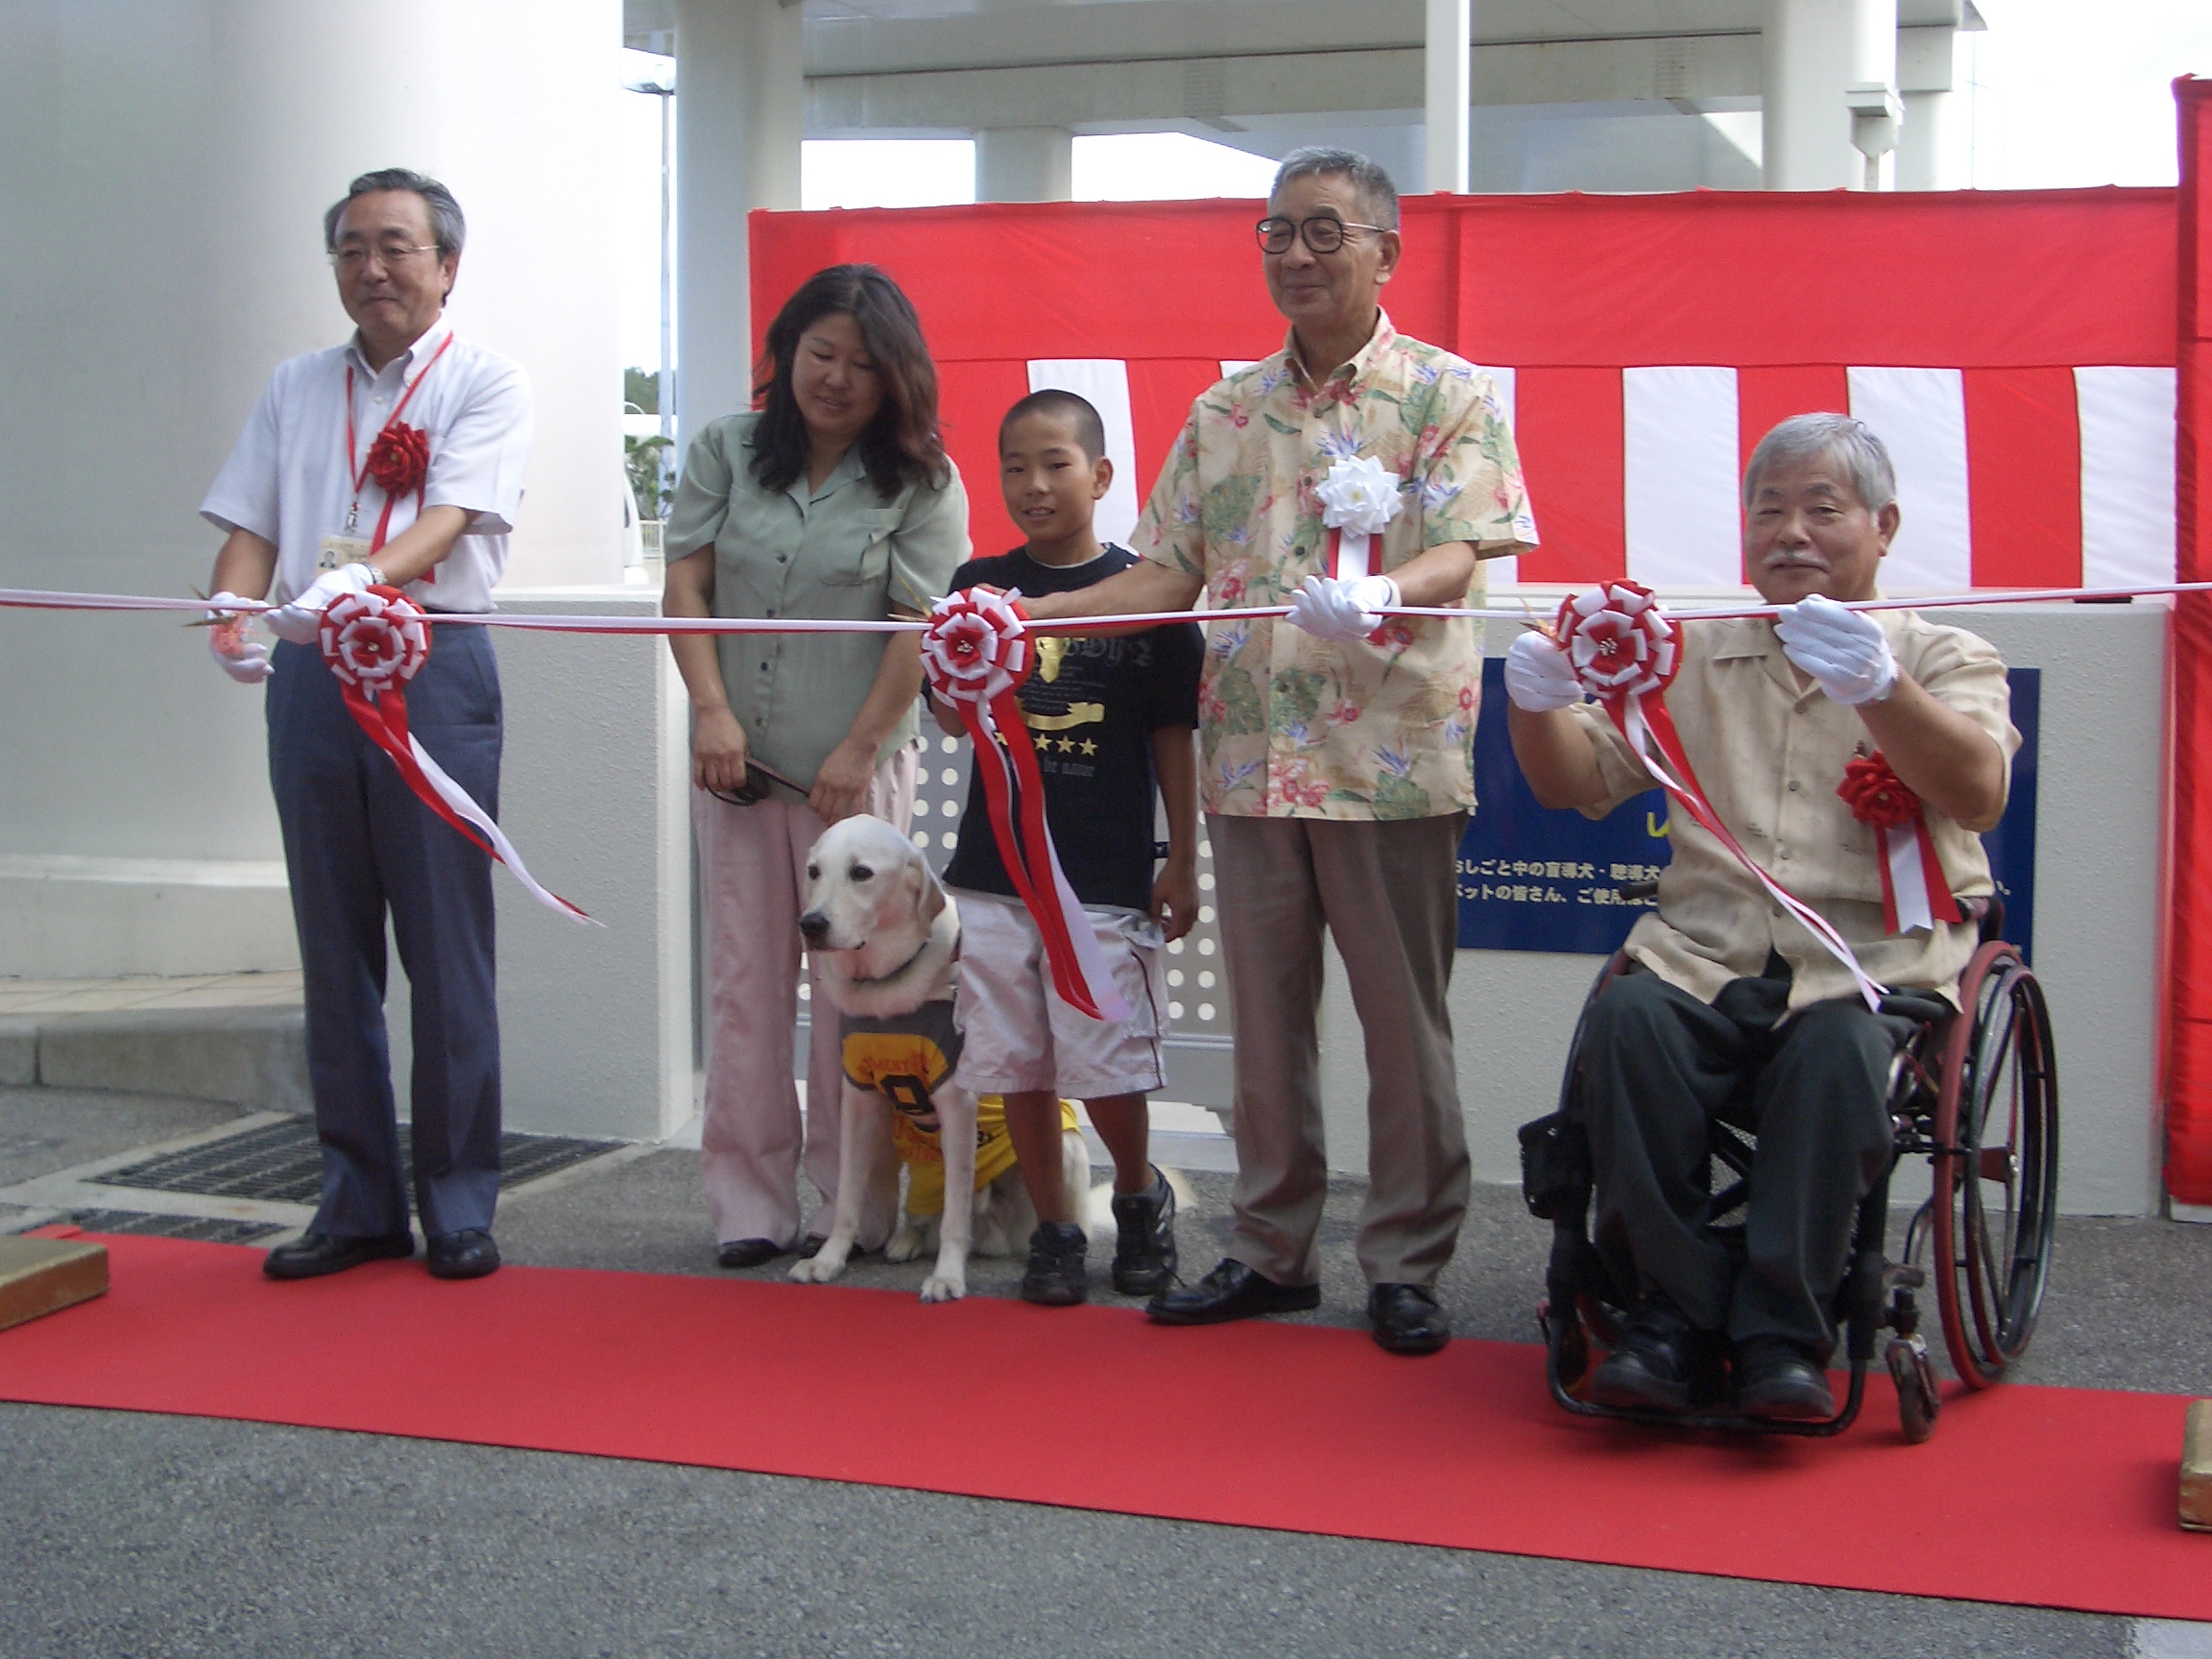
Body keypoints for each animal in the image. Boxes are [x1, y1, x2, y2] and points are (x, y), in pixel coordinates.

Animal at [787, 813, 1088, 1309]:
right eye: (813, 871)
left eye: (861, 873)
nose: (810, 924)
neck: (886, 986)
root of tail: (997, 1236)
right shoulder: (860, 1100)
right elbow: (848, 1196)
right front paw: (829, 1259)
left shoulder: (957, 1103)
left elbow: (954, 1216)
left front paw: (948, 1276)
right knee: (922, 1215)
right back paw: (906, 1240)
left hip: (1062, 1151)